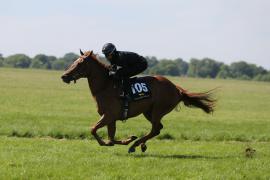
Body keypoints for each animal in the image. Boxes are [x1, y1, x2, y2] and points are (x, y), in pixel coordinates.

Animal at [60, 50, 215, 153]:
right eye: (74, 61)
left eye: (80, 63)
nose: (64, 76)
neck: (105, 86)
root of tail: (176, 89)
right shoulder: (111, 118)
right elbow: (110, 138)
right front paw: (126, 139)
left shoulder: (109, 115)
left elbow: (93, 130)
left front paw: (128, 140)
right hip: (148, 112)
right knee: (158, 129)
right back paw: (141, 144)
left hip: (158, 110)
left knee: (155, 129)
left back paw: (135, 145)